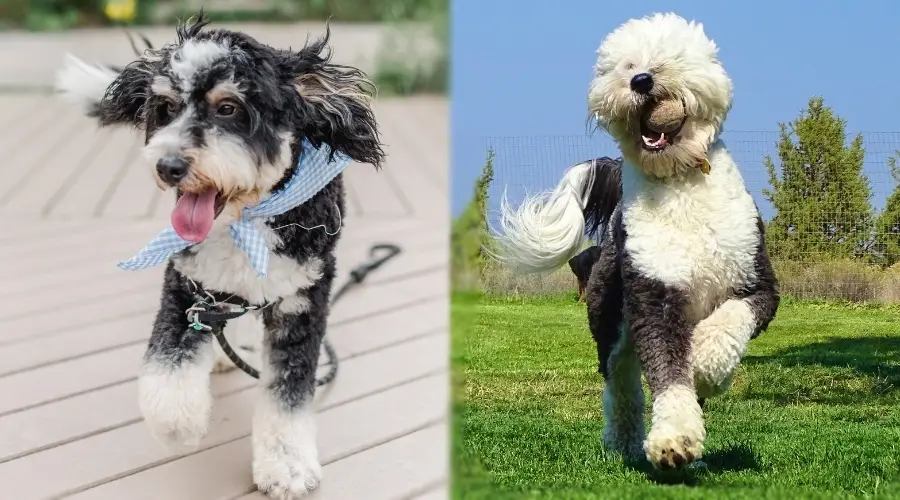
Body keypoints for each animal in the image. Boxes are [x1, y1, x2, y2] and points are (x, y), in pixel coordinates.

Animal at [53, 13, 384, 498]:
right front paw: (179, 423)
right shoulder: (187, 282)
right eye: (165, 107)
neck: (244, 220)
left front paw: (286, 464)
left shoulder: (303, 300)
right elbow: (168, 361)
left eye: (228, 108)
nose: (168, 166)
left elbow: (288, 392)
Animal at [492, 13, 780, 470]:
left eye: (669, 59)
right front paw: (673, 440)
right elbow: (668, 373)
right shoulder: (655, 291)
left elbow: (730, 322)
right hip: (608, 315)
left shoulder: (757, 284)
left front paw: (706, 367)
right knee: (621, 382)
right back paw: (624, 442)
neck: (679, 180)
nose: (642, 80)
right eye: (626, 66)